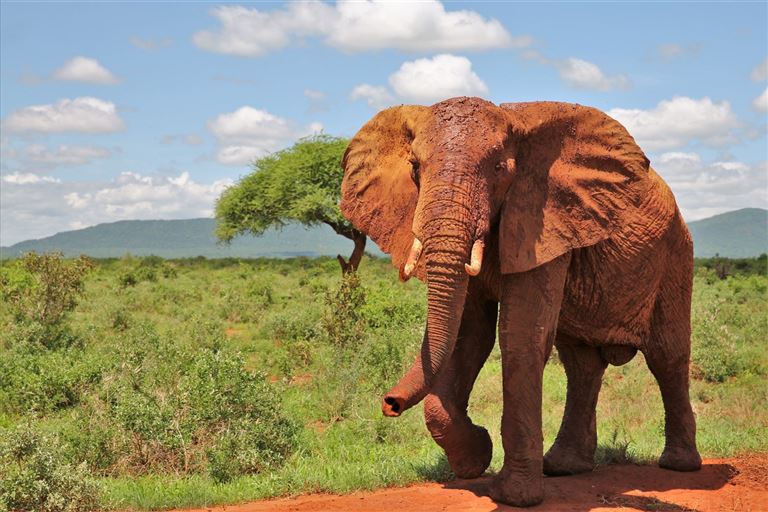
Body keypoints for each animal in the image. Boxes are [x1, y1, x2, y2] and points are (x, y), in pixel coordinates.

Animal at [340, 97, 704, 508]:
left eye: (500, 169)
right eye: (415, 168)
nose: (390, 403)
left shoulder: (543, 220)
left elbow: (519, 336)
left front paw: (514, 496)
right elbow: (470, 336)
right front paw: (475, 458)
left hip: (676, 255)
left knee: (666, 356)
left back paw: (679, 466)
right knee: (581, 364)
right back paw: (564, 467)